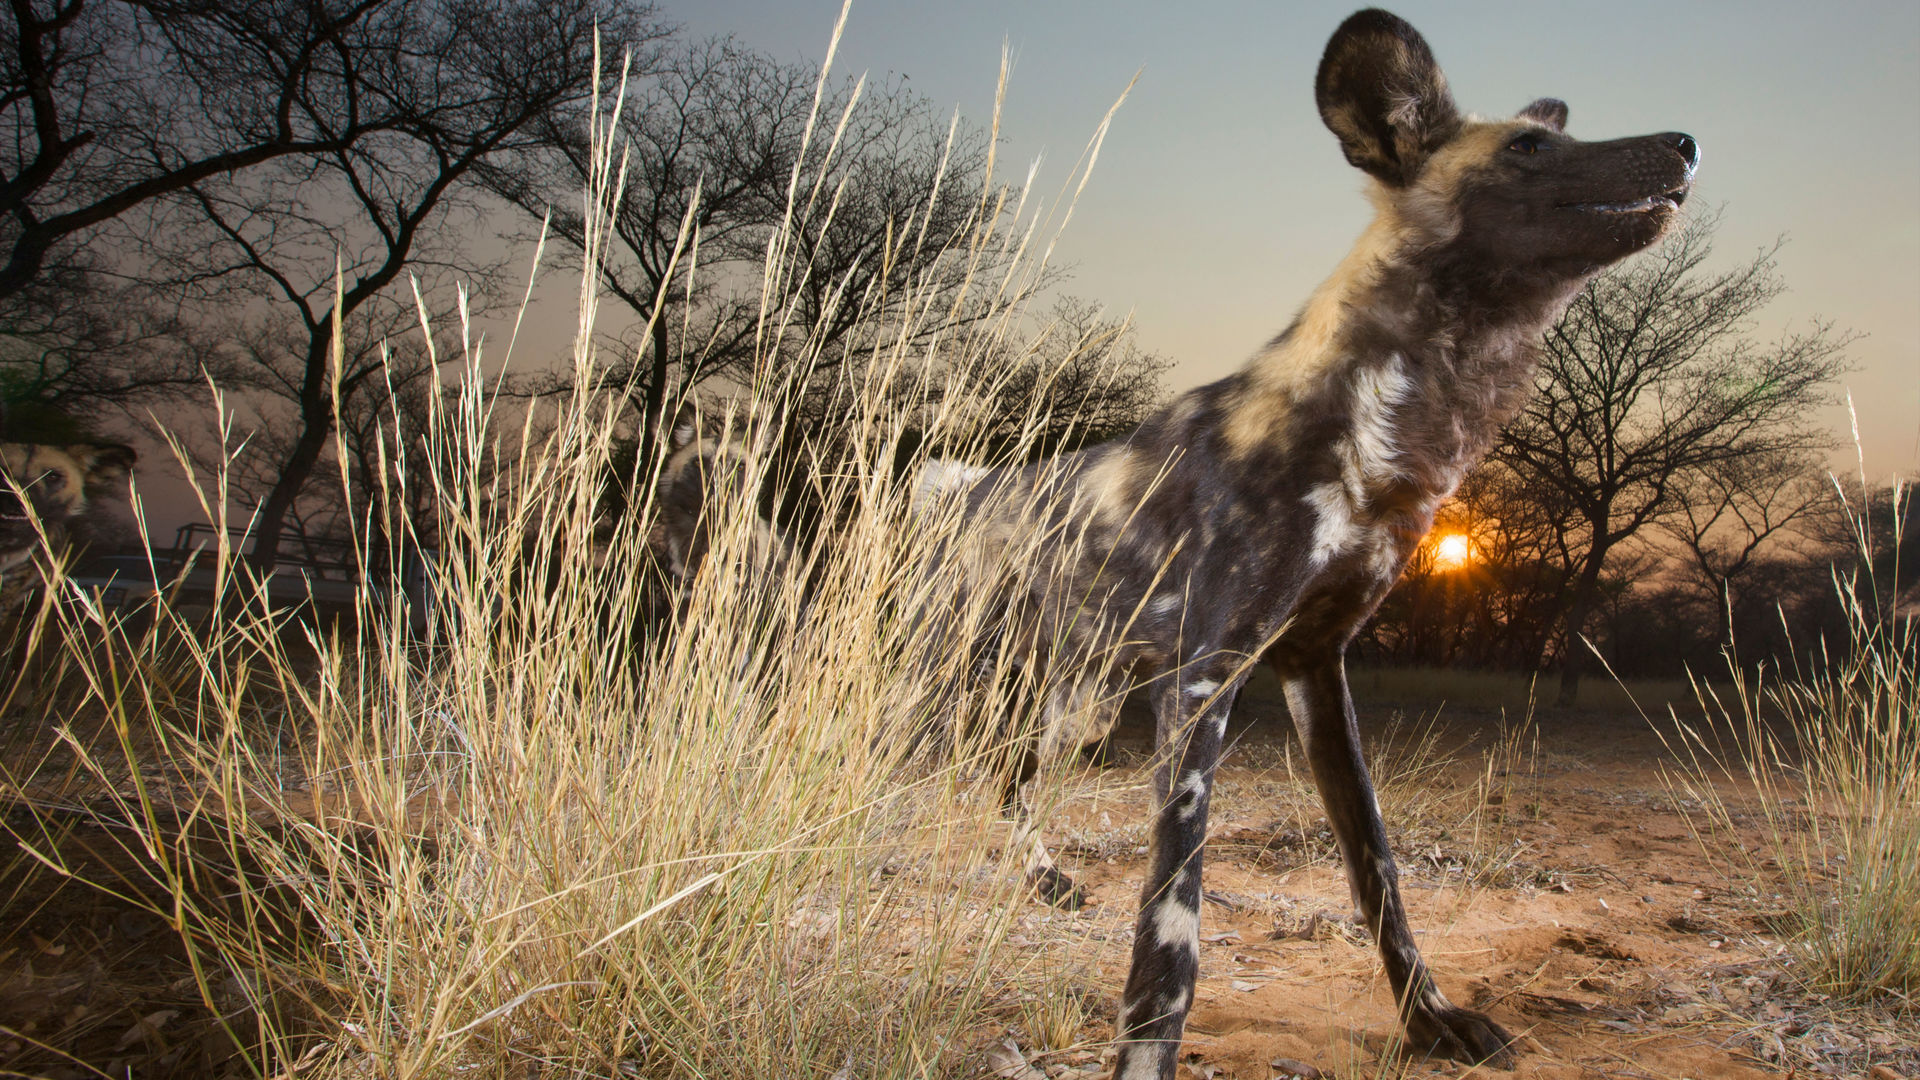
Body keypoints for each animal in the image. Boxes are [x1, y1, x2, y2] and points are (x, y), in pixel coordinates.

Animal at [660, 6, 1697, 1068]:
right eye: (1529, 149)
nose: (1686, 142)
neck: (1392, 423)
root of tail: (969, 489)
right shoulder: (1205, 682)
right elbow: (1173, 935)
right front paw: (1147, 1057)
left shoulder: (1316, 669)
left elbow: (1379, 876)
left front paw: (1430, 1018)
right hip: (952, 681)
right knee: (883, 764)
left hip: (1065, 697)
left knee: (1004, 781)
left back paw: (1045, 881)